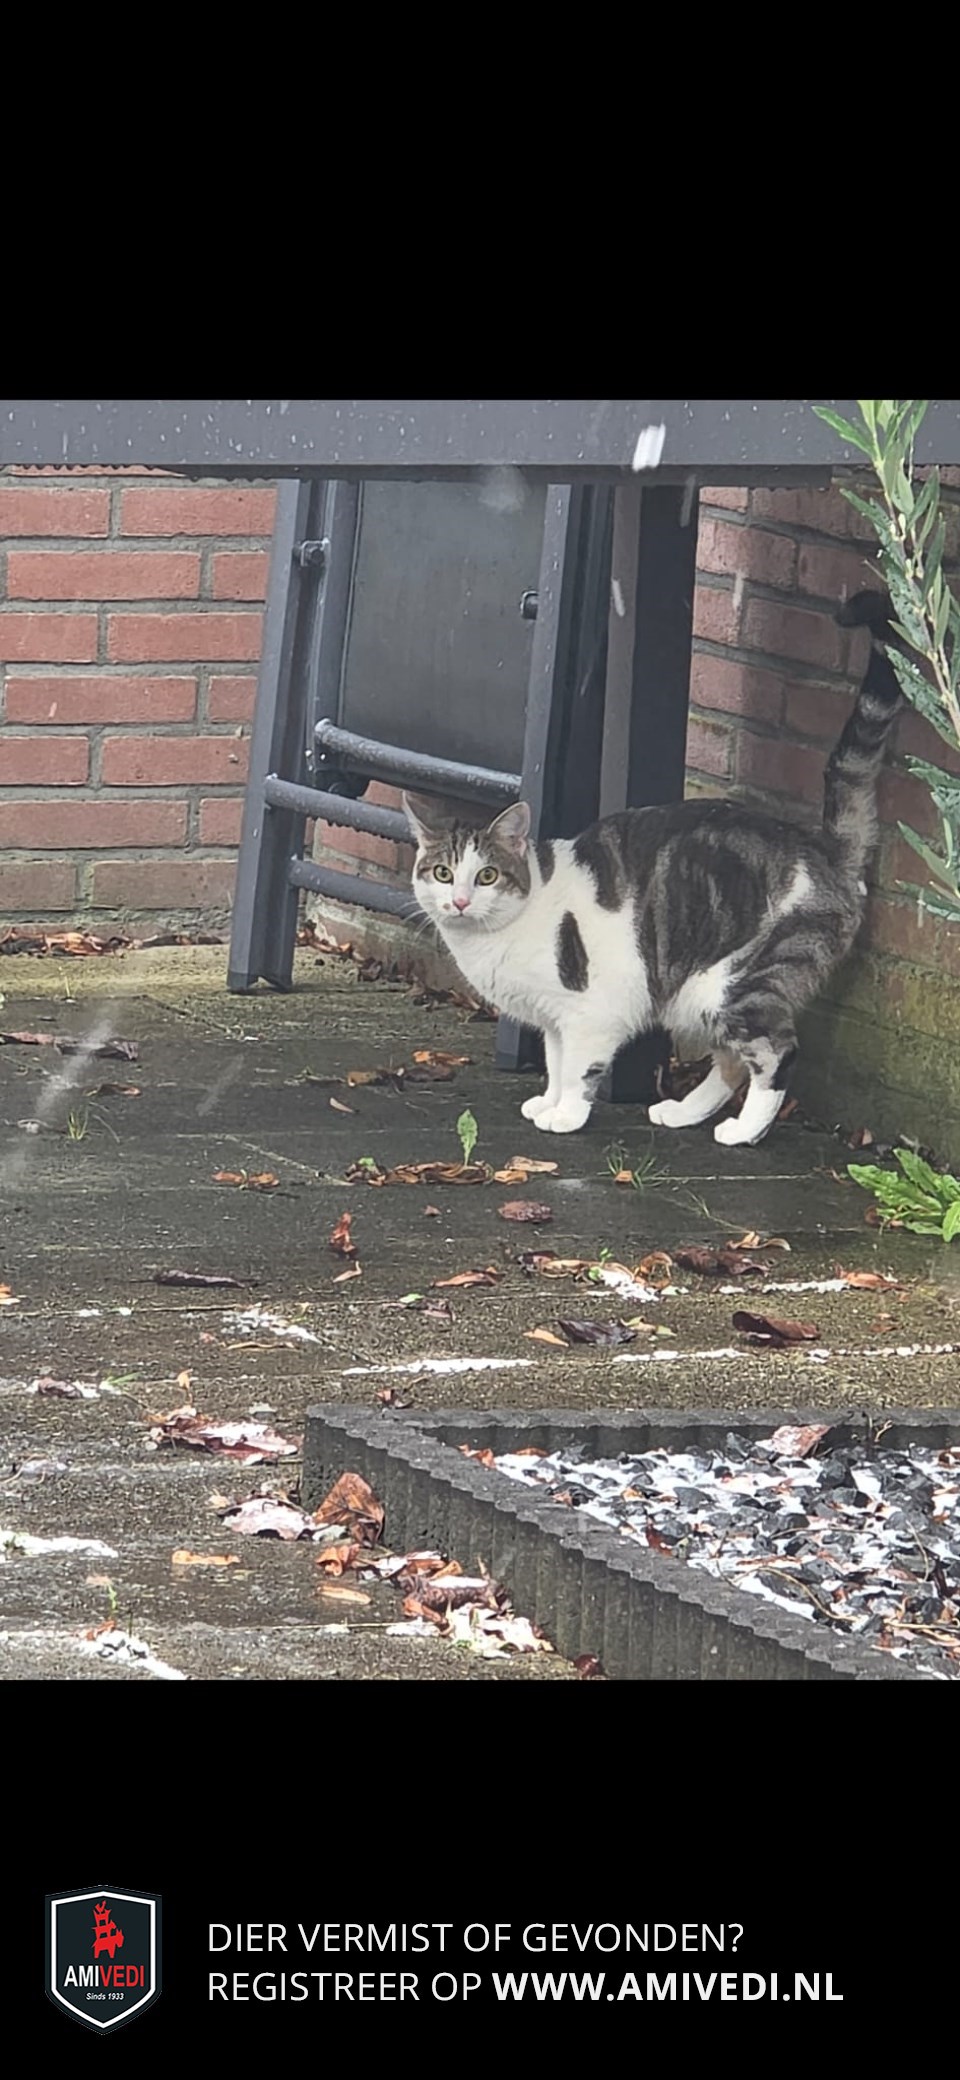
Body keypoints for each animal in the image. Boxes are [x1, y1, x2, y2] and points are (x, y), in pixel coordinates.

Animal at [402, 590, 903, 1147]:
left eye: (486, 875)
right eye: (443, 874)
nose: (459, 901)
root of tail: (822, 848)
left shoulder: (590, 1013)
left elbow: (577, 1069)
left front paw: (566, 1115)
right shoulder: (554, 1019)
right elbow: (554, 1062)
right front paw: (547, 1103)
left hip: (738, 983)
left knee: (775, 1054)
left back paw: (743, 1131)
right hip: (702, 998)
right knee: (732, 1061)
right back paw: (682, 1113)